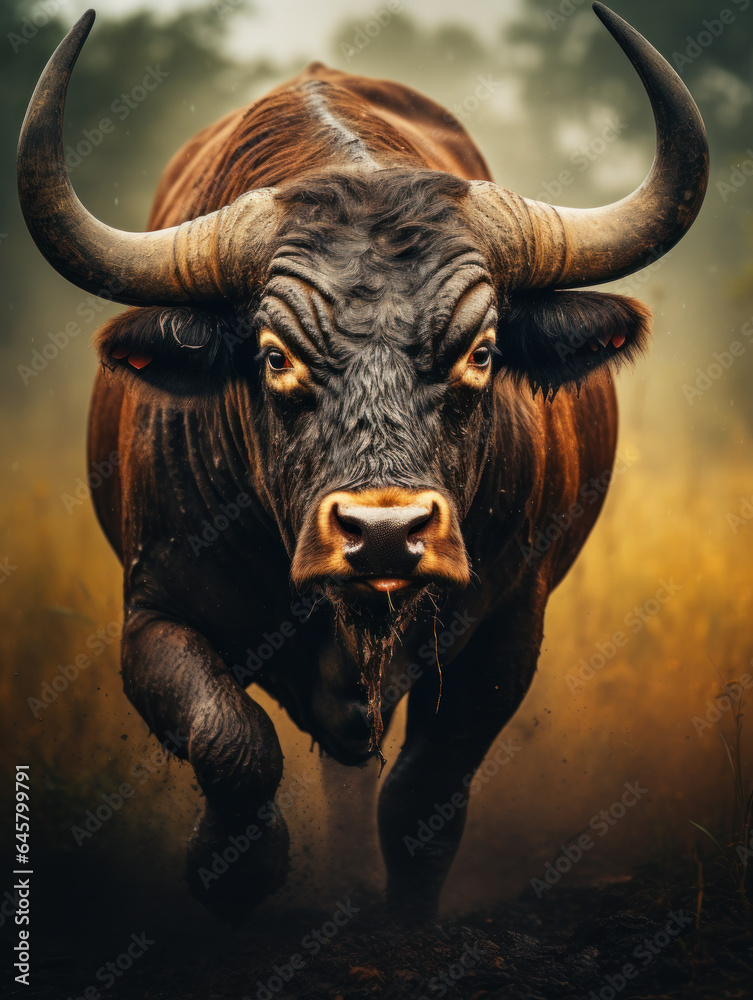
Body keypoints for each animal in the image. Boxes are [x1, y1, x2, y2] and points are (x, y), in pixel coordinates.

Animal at [18, 4, 708, 922]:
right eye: (274, 357)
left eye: (481, 352)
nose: (383, 534)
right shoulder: (154, 612)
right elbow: (233, 740)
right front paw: (237, 872)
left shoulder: (508, 628)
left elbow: (421, 793)